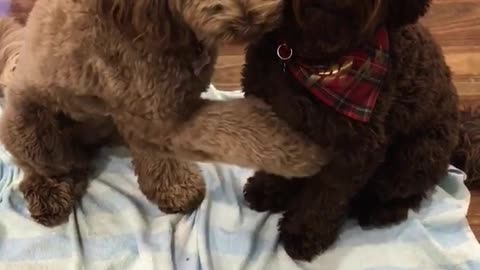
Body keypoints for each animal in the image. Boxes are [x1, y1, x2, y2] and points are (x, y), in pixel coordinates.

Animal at [242, 0, 478, 262]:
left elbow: (326, 197)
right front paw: (267, 189)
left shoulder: (356, 150)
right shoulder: (273, 118)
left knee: (408, 193)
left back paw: (375, 210)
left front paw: (303, 233)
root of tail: (459, 138)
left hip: (414, 157)